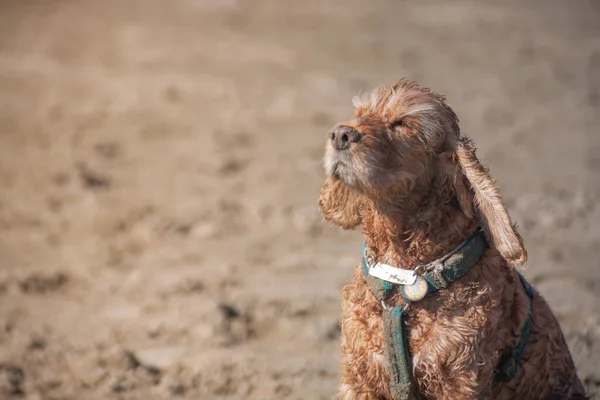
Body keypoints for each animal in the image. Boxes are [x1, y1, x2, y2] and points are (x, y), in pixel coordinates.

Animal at [318, 79, 584, 400]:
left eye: (402, 123)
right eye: (359, 115)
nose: (340, 134)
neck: (403, 275)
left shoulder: (460, 381)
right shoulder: (359, 376)